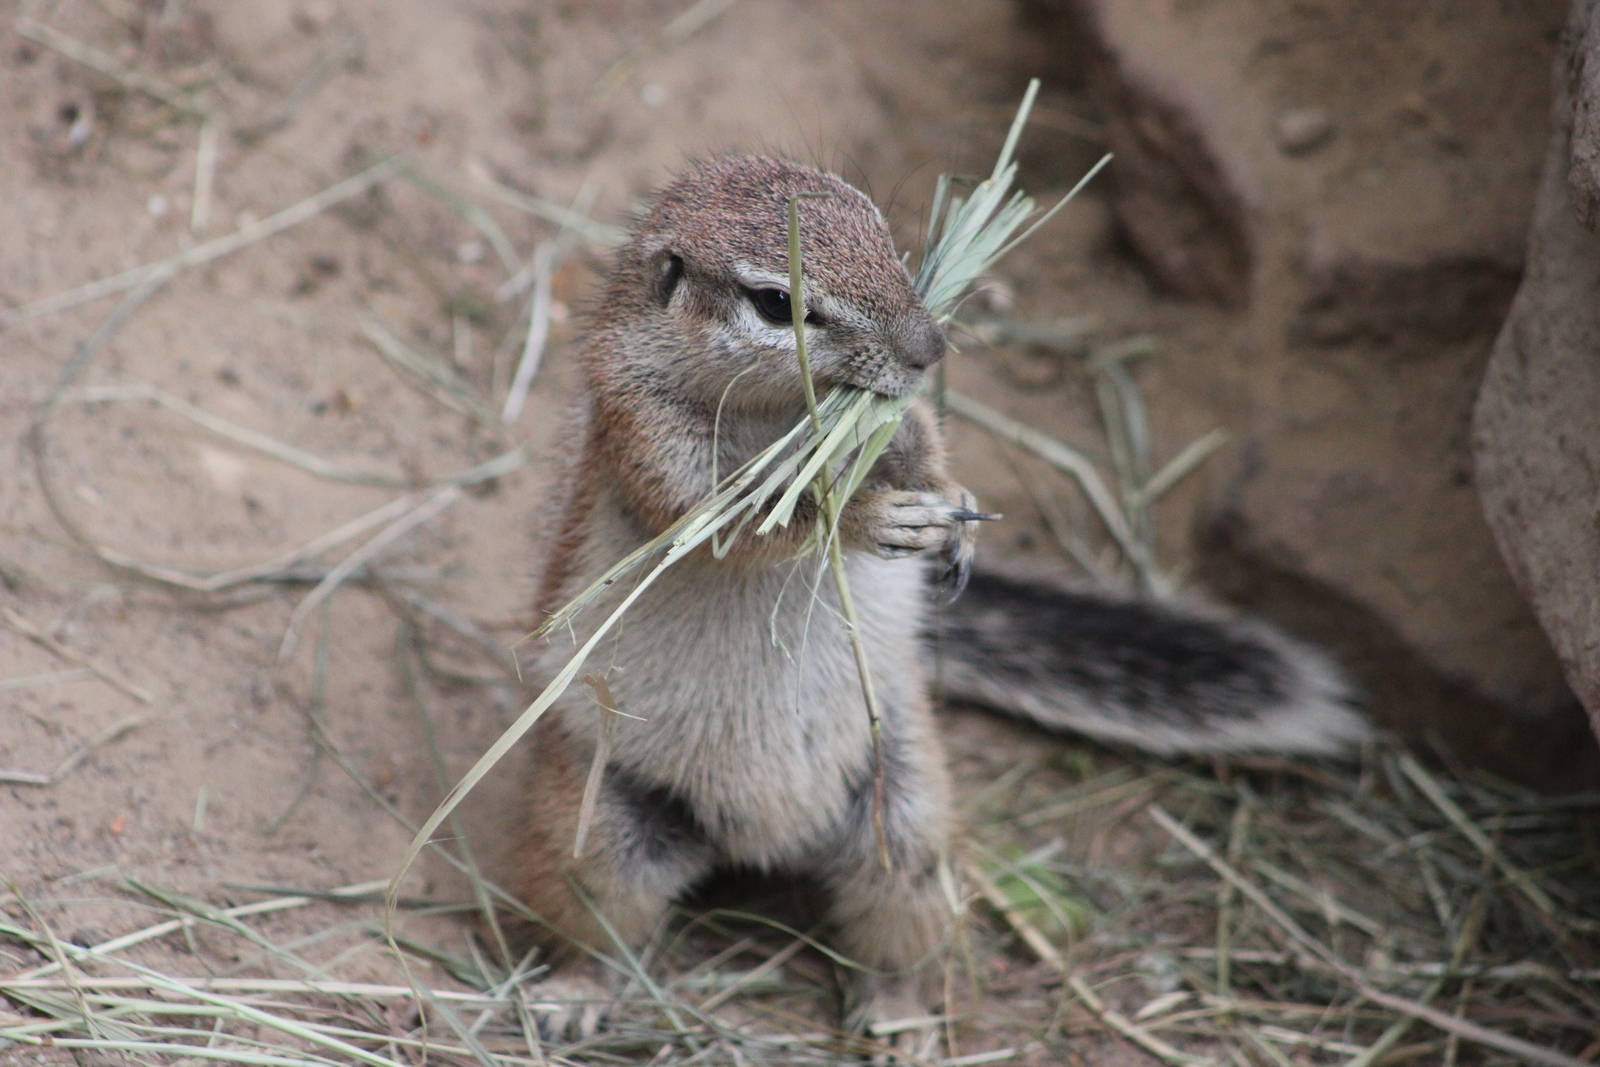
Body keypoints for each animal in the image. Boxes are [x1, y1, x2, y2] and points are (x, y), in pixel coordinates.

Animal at [479, 155, 1369, 1057]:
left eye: (884, 233)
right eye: (776, 304)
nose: (930, 346)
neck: (780, 414)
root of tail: (764, 840)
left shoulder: (898, 421)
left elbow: (924, 440)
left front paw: (953, 506)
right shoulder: (645, 434)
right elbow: (736, 524)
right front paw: (868, 518)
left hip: (904, 812)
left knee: (897, 924)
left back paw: (899, 1017)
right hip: (599, 826)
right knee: (593, 920)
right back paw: (575, 994)